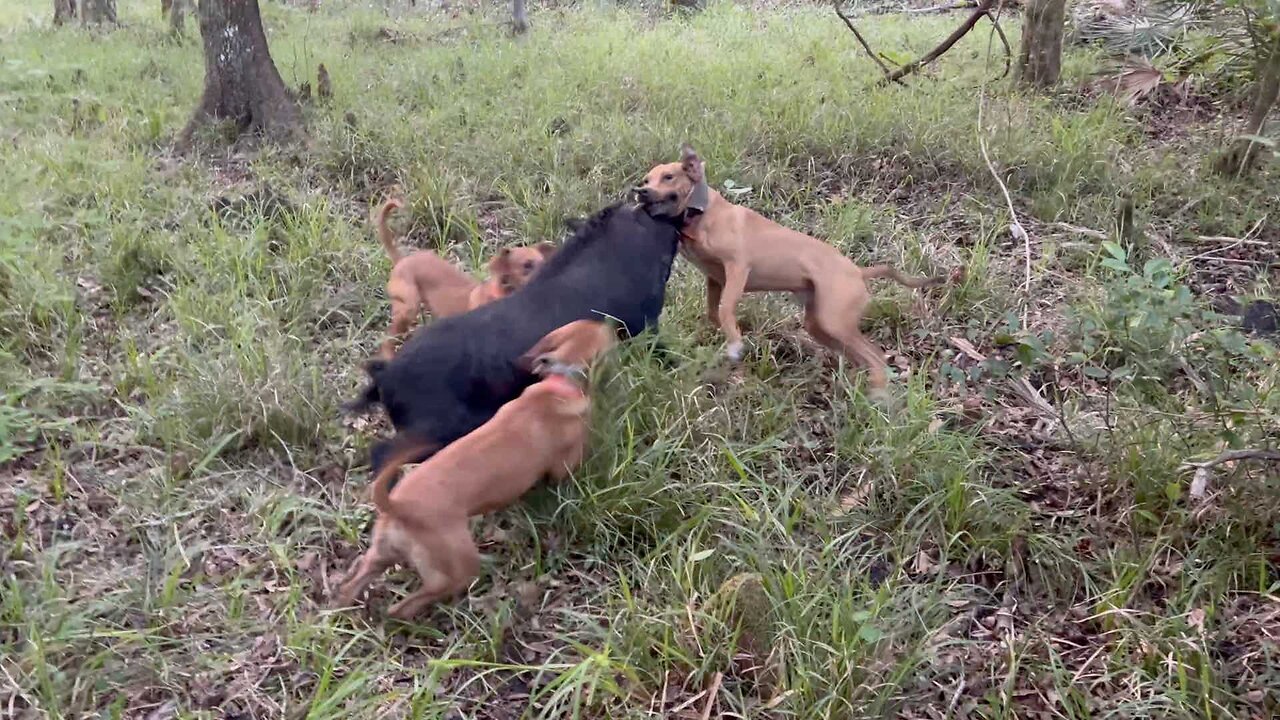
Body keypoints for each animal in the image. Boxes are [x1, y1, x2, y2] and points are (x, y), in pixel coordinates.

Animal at [634, 146, 947, 392]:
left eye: (669, 177)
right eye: (647, 179)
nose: (640, 192)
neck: (701, 214)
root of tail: (859, 271)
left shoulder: (738, 268)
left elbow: (724, 310)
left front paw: (735, 343)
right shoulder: (715, 278)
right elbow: (715, 312)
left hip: (834, 321)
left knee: (876, 357)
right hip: (821, 325)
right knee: (864, 358)